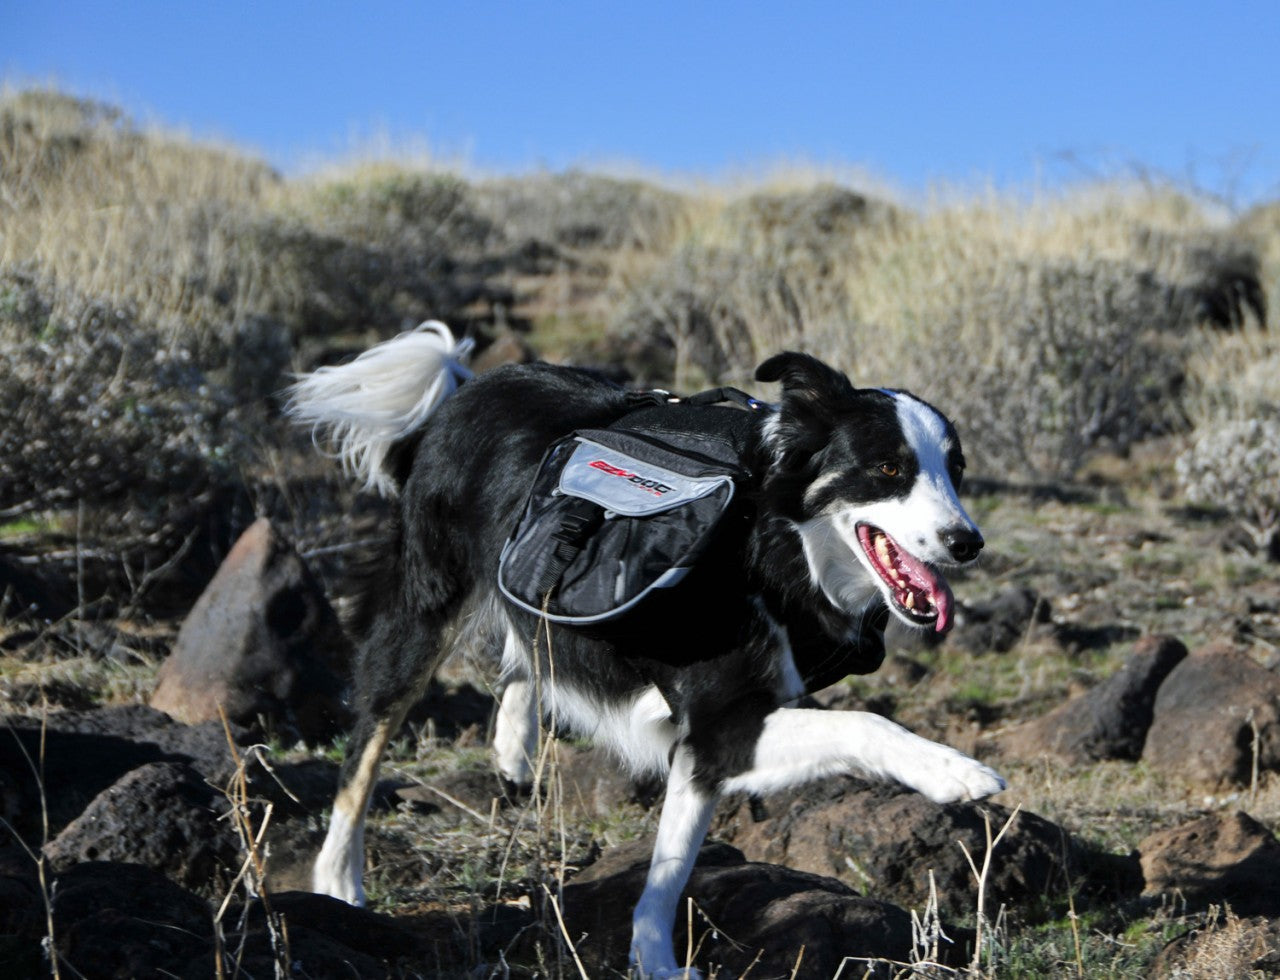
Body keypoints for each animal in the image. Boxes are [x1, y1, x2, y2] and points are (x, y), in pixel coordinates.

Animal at [293, 324, 1008, 980]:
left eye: (956, 471)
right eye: (889, 468)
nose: (967, 542)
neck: (771, 539)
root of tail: (469, 389)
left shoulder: (710, 742)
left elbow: (673, 859)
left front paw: (654, 956)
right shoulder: (718, 724)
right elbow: (866, 722)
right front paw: (955, 772)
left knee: (527, 652)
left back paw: (515, 744)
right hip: (421, 613)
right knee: (365, 747)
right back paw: (337, 881)